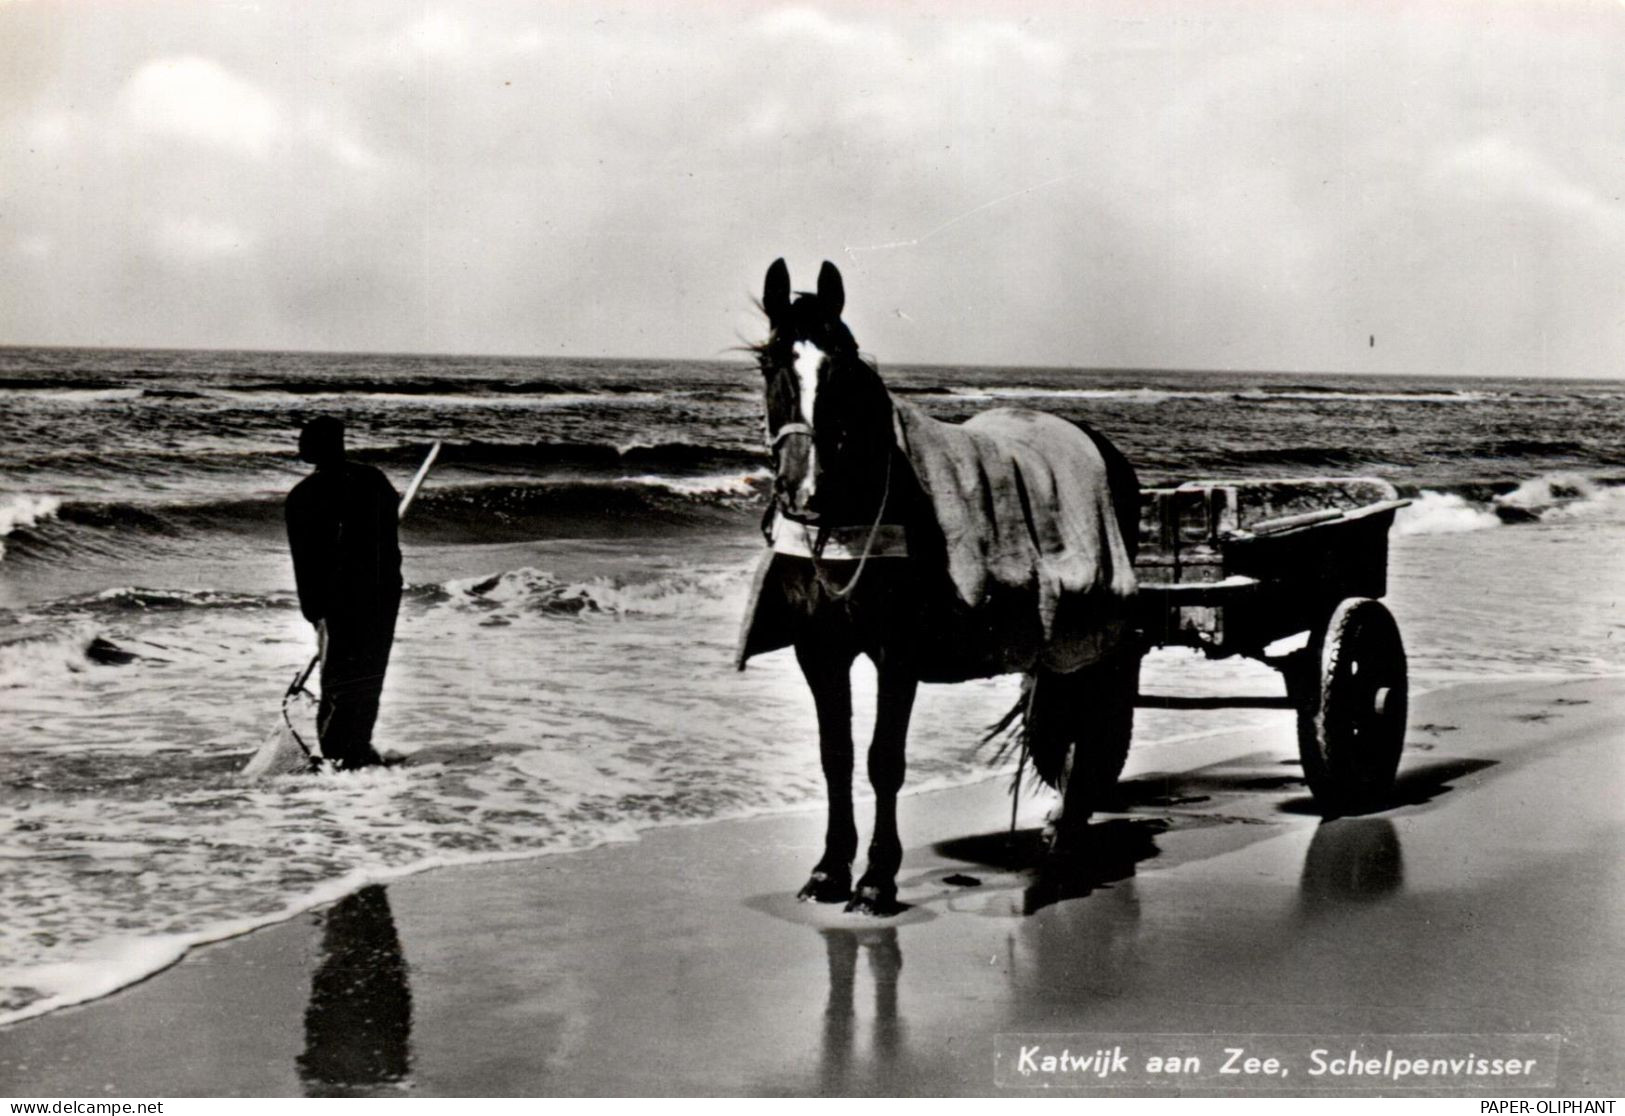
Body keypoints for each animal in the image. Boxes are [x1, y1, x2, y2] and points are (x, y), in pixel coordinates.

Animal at [741, 261, 1144, 916]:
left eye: (844, 365)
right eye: (770, 360)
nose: (806, 488)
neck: (846, 521)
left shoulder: (897, 652)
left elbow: (883, 760)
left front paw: (877, 879)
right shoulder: (819, 650)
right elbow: (835, 757)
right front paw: (829, 870)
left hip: (1096, 626)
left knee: (1093, 717)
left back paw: (1067, 835)